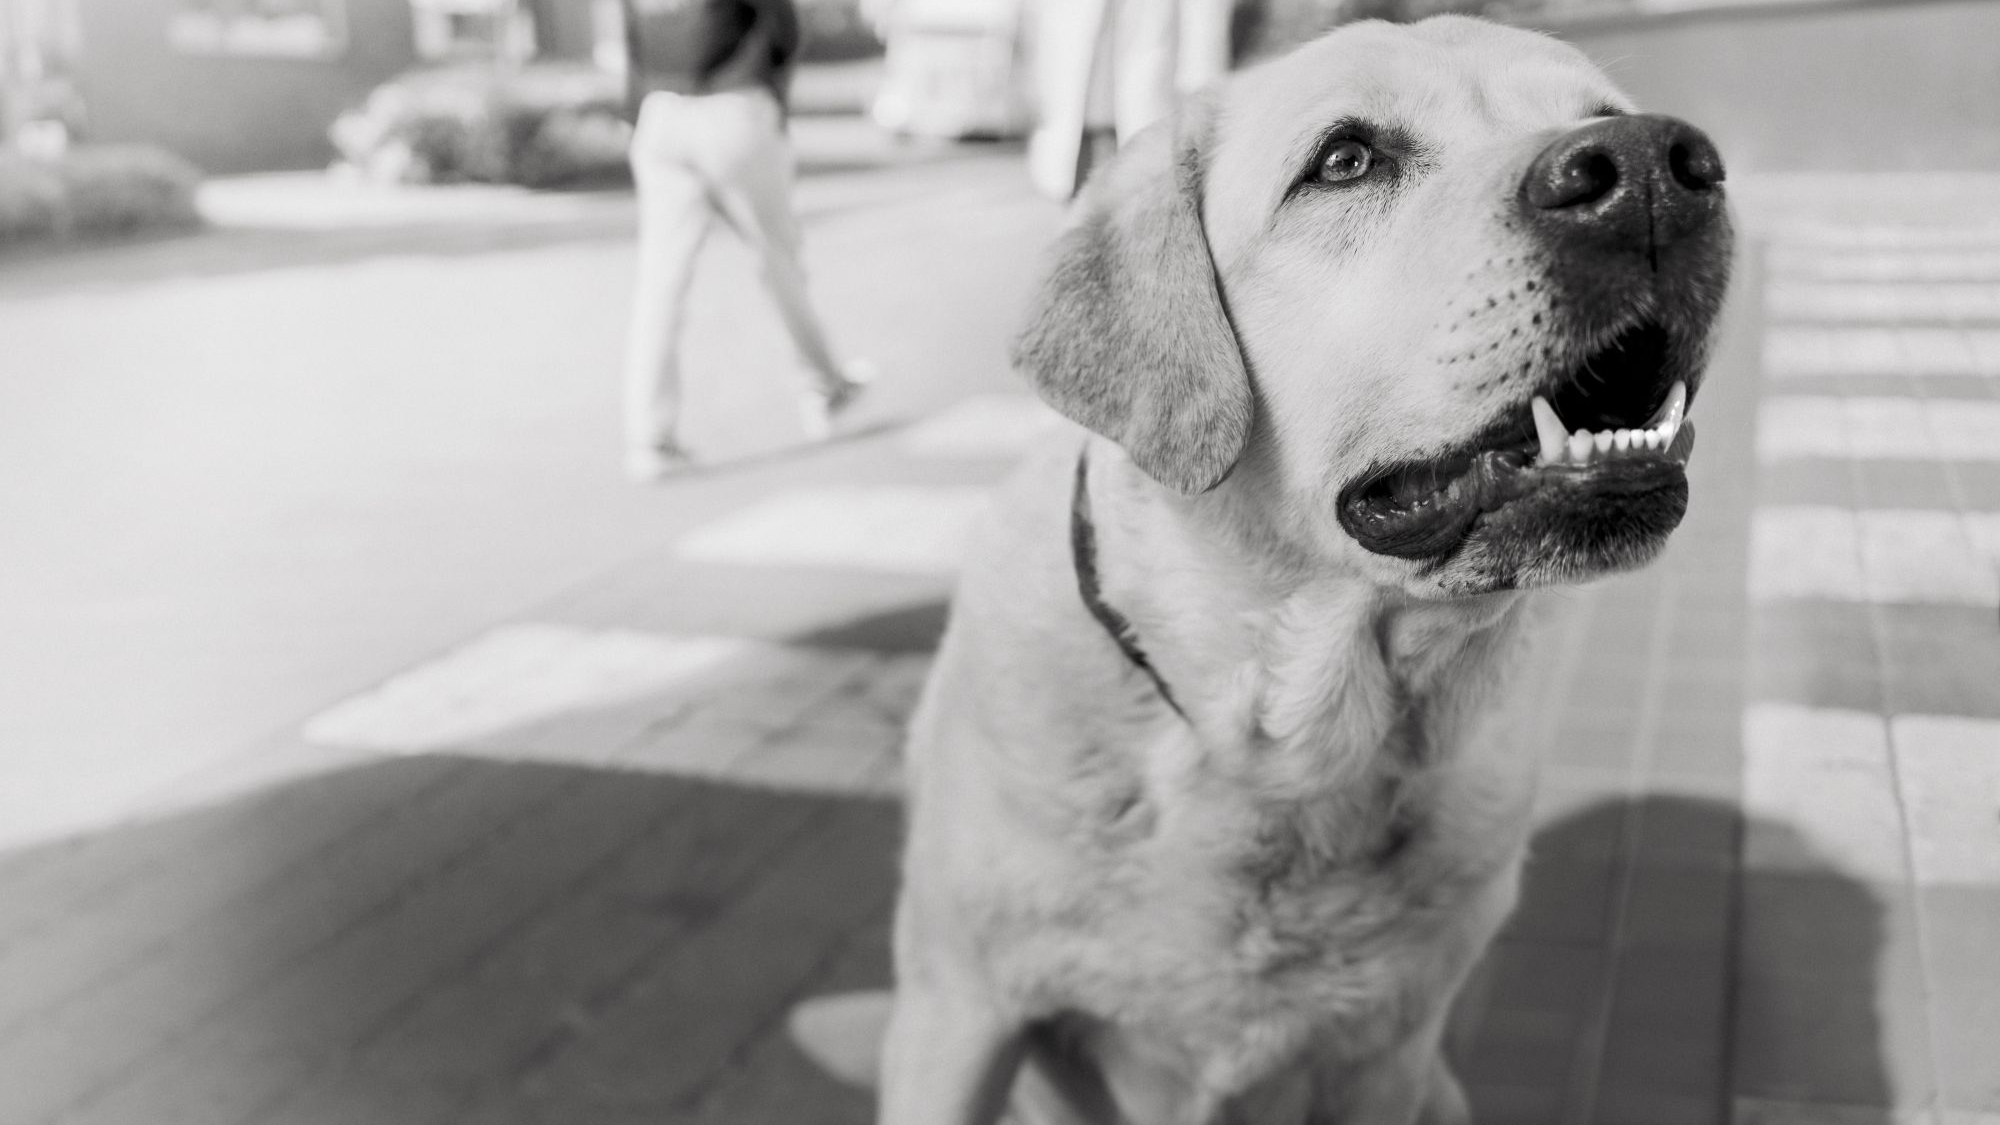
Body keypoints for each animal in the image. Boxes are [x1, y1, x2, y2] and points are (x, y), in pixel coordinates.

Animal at [865, 16, 1733, 1125]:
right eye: (1344, 161)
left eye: (1602, 116)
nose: (1654, 169)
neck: (1284, 757)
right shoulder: (956, 1015)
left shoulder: (1387, 1055)